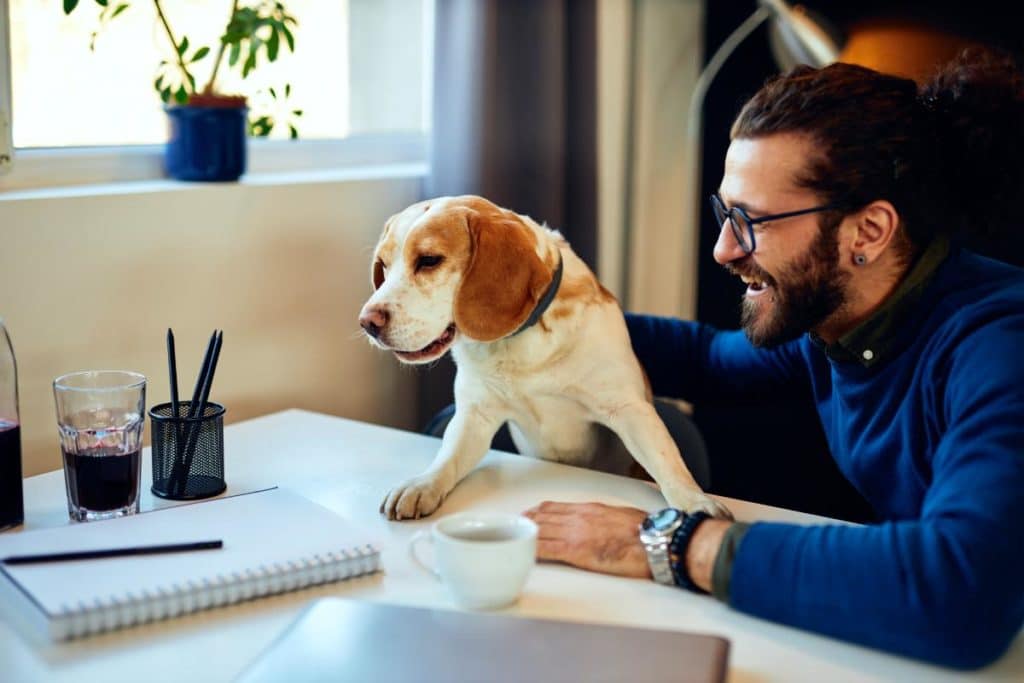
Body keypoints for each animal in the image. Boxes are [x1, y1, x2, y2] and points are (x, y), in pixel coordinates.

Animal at [360, 194, 729, 520]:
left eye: (429, 260)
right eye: (383, 266)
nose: (367, 322)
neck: (521, 342)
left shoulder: (629, 410)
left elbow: (667, 461)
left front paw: (695, 502)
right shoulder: (475, 417)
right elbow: (446, 459)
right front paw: (421, 485)